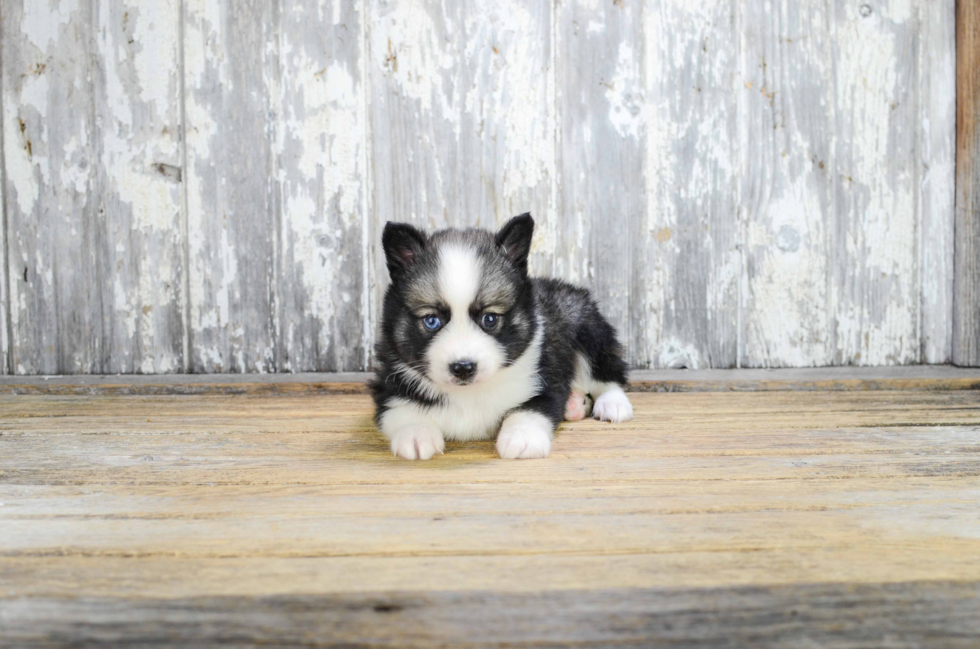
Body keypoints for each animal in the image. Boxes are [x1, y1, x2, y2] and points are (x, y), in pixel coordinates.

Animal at [370, 215, 636, 458]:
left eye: (489, 319)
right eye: (432, 320)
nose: (463, 368)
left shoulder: (544, 379)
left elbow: (528, 409)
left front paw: (522, 437)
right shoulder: (390, 380)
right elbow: (399, 408)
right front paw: (416, 433)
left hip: (586, 325)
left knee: (606, 373)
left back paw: (612, 403)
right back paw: (574, 404)